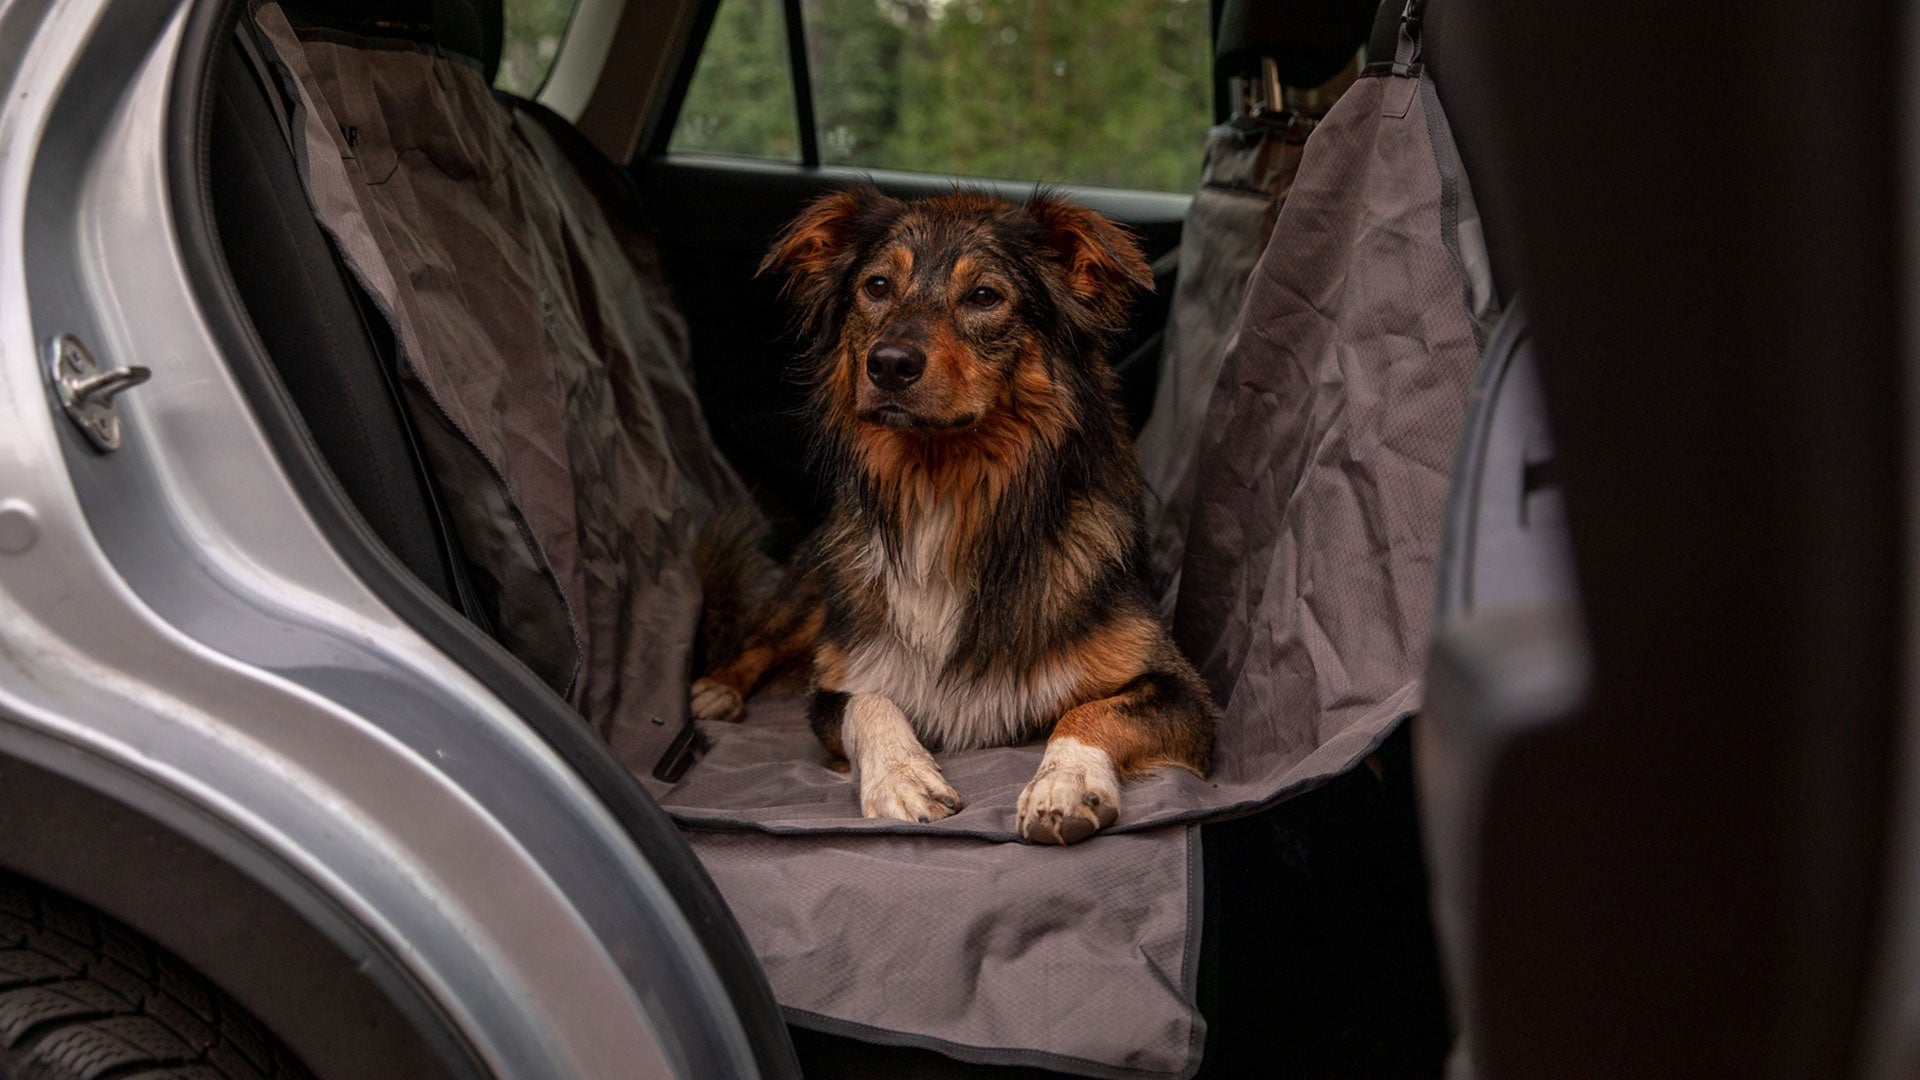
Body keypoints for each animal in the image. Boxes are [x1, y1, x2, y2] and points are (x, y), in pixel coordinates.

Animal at [687, 184, 1213, 841]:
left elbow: (1091, 711)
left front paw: (1064, 784)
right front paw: (902, 777)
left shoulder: (1183, 691)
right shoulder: (836, 682)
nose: (888, 363)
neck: (946, 490)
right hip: (821, 587)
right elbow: (868, 700)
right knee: (763, 637)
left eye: (984, 296)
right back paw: (716, 688)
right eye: (877, 286)